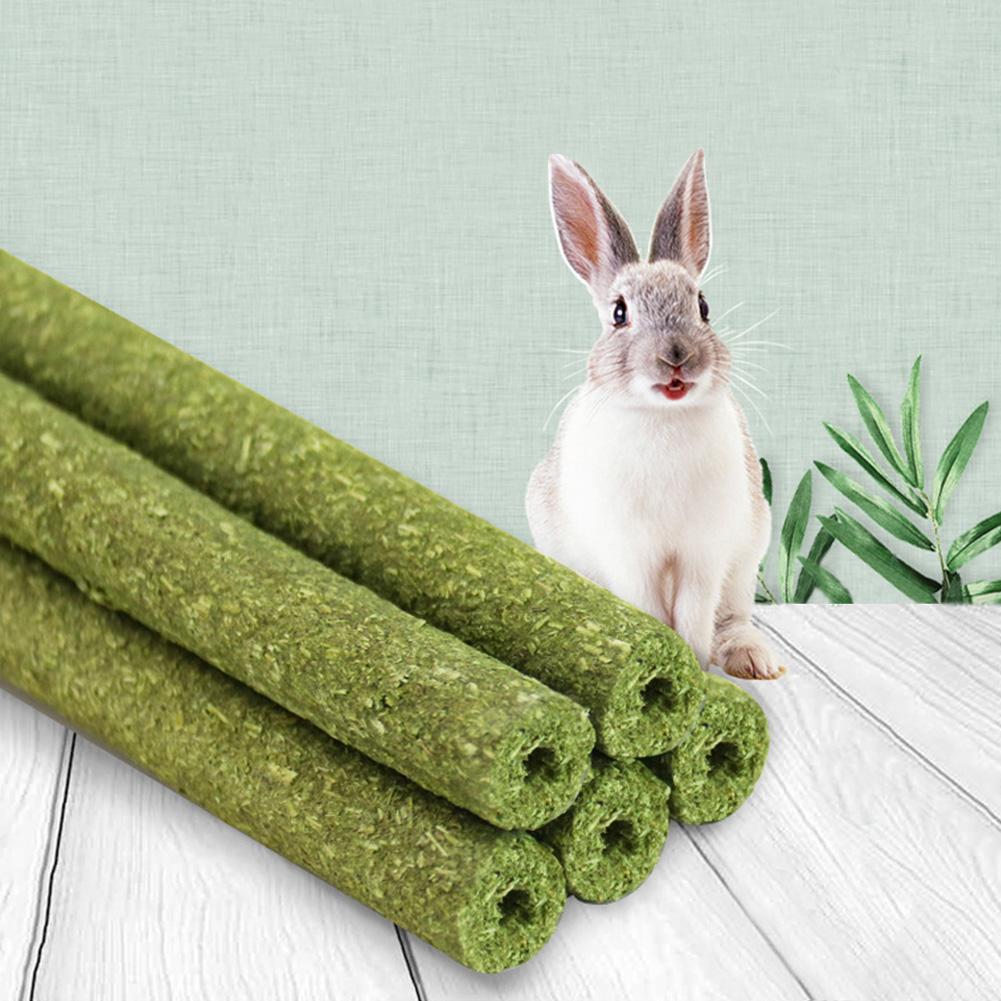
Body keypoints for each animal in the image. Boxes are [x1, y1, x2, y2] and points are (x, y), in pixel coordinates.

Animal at [526, 150, 784, 680]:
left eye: (703, 306)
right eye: (619, 313)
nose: (676, 356)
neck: (663, 417)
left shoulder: (703, 554)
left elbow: (693, 614)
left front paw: (695, 668)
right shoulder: (631, 555)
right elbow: (647, 609)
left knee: (732, 618)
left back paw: (754, 660)